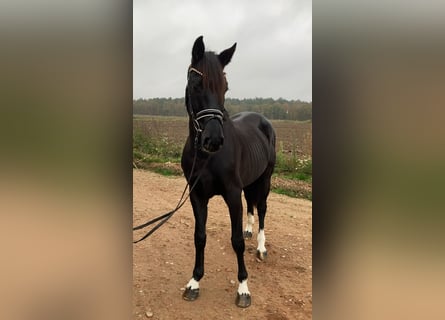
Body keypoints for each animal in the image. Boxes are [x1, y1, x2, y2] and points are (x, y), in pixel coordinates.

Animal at [180, 36, 274, 308]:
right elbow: (200, 236)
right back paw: (249, 228)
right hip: (250, 181)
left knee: (262, 209)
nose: (213, 140)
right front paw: (194, 282)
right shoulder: (197, 195)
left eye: (226, 87)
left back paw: (261, 247)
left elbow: (237, 242)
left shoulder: (232, 194)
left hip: (265, 179)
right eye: (195, 83)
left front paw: (243, 289)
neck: (207, 158)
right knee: (252, 205)